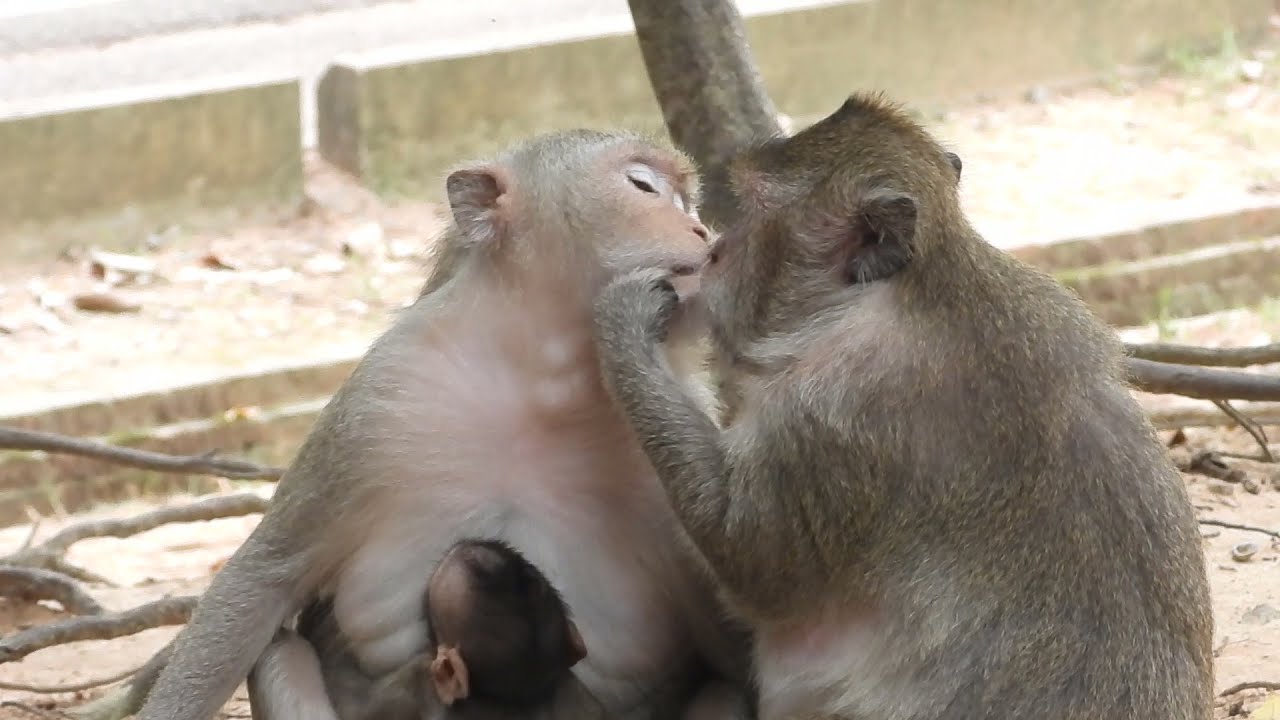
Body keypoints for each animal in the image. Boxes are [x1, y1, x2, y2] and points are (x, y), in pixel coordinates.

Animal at [105, 130, 753, 720]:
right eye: (643, 186)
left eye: (687, 200)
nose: (703, 232)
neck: (547, 378)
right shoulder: (380, 400)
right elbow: (264, 578)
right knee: (279, 652)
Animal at [590, 93, 1214, 720]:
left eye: (754, 214)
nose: (716, 250)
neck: (917, 289)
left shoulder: (833, 416)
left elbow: (753, 566)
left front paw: (624, 328)